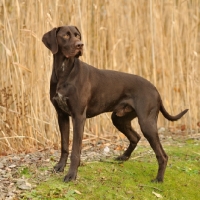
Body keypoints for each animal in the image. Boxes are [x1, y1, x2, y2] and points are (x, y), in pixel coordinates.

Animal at [41, 25, 188, 183]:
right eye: (66, 36)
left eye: (77, 35)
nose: (80, 45)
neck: (64, 71)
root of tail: (155, 89)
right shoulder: (62, 115)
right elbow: (64, 145)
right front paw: (60, 167)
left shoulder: (78, 116)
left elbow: (75, 150)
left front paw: (71, 174)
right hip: (119, 118)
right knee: (135, 137)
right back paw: (124, 157)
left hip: (146, 122)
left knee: (162, 155)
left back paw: (159, 179)